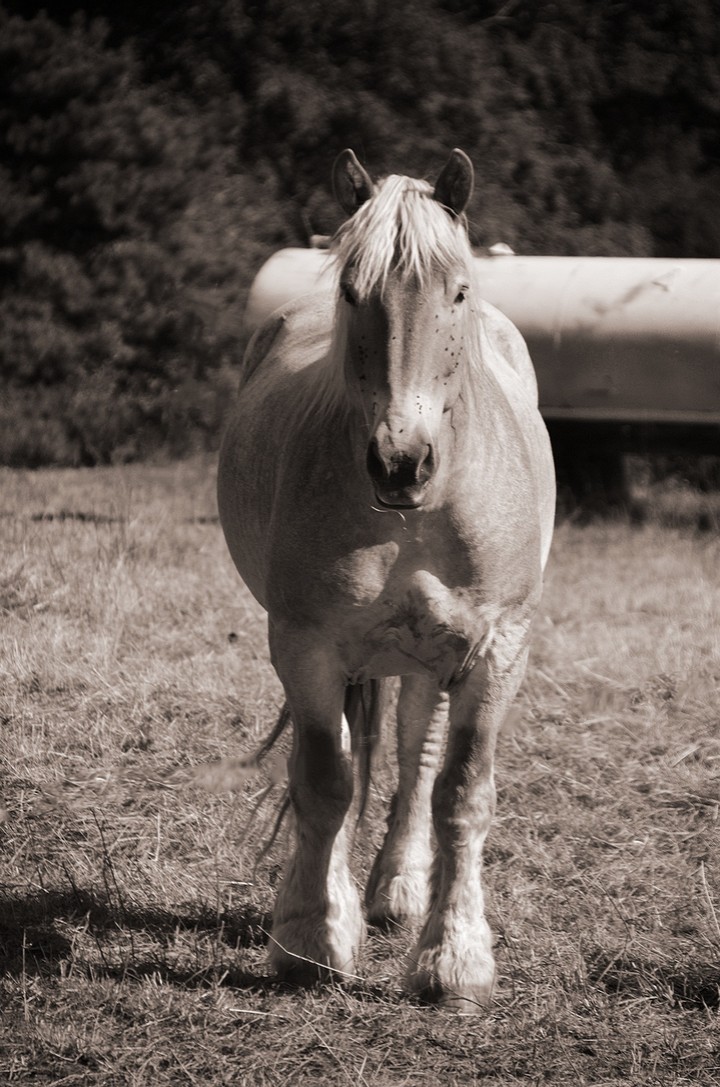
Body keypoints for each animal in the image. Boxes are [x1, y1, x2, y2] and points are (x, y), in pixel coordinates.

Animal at [217, 149, 555, 1010]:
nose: (401, 462)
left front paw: (453, 959)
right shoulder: (306, 644)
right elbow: (324, 778)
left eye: (458, 290)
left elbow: (460, 790)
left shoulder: (496, 649)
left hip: (432, 655)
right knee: (348, 758)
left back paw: (399, 890)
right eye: (350, 289)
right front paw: (310, 937)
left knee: (415, 755)